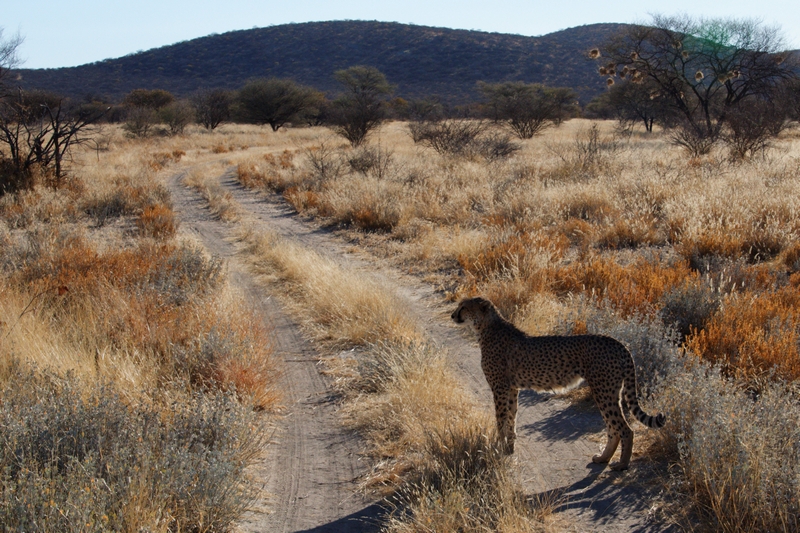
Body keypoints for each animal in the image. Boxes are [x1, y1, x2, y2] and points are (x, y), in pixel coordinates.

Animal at [454, 296, 664, 470]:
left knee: (625, 429)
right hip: (610, 392)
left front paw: (497, 447)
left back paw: (622, 464)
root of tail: (618, 342)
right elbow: (511, 418)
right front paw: (509, 447)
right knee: (613, 429)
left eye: (463, 307)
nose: (452, 314)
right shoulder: (512, 388)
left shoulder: (499, 388)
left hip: (603, 390)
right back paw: (603, 458)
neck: (486, 327)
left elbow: (501, 420)